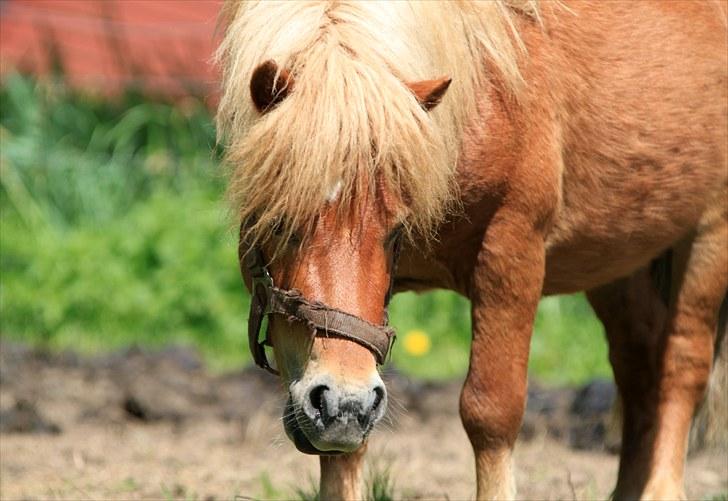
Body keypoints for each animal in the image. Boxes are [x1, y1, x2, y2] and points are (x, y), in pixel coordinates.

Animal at [216, 1, 728, 498]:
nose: (344, 403)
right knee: (638, 362)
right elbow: (347, 453)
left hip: (708, 239)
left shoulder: (512, 248)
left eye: (396, 231)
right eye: (278, 222)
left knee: (682, 368)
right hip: (615, 261)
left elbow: (492, 411)